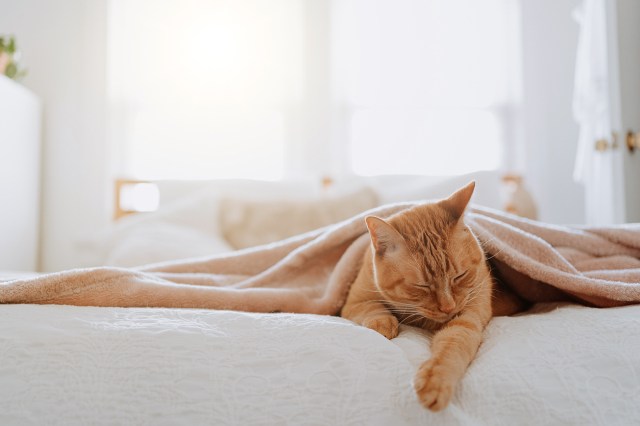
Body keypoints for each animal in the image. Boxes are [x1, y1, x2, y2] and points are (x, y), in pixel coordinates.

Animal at [342, 181, 524, 412]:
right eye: (421, 286)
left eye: (460, 276)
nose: (448, 307)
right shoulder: (354, 301)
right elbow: (371, 308)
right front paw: (382, 323)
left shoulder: (467, 318)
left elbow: (452, 346)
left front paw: (436, 380)